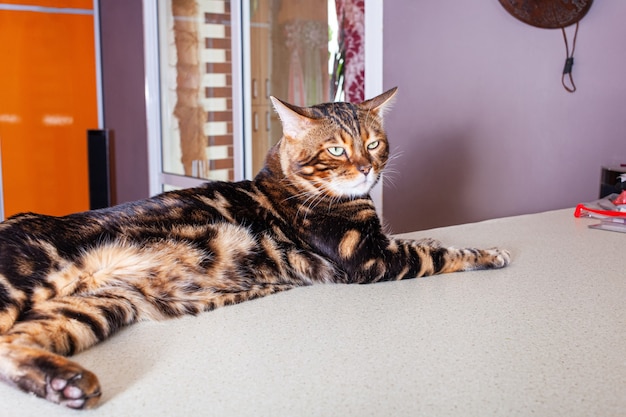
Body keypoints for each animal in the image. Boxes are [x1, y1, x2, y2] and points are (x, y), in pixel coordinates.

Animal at [0, 86, 510, 408]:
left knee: (11, 347)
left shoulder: (379, 243)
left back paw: (66, 384)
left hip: (95, 306)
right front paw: (489, 252)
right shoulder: (367, 258)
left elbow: (420, 238)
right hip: (23, 284)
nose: (367, 169)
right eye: (337, 150)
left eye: (373, 144)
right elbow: (441, 254)